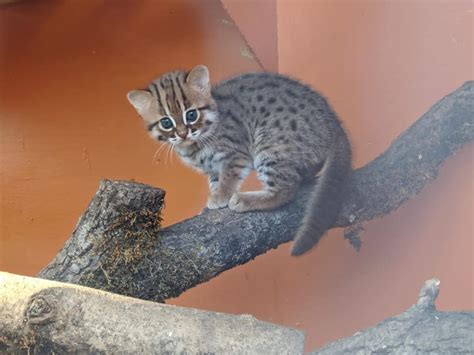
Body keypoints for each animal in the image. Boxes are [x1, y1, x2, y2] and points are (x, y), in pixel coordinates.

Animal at [128, 66, 350, 256]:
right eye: (166, 122)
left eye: (191, 114)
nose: (182, 134)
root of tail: (335, 125)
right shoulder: (213, 169)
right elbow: (215, 182)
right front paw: (212, 200)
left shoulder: (235, 155)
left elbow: (228, 179)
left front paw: (221, 197)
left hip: (269, 144)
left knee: (286, 189)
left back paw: (246, 199)